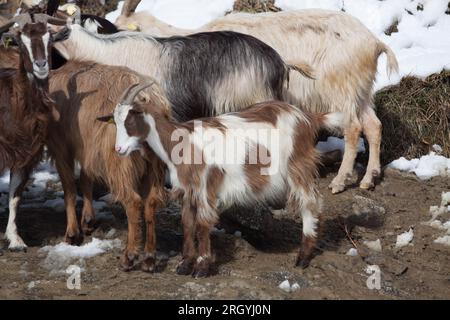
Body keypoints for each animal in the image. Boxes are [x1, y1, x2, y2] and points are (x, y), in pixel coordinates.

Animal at [0, 13, 68, 251]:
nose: (40, 65)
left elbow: (15, 195)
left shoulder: (25, 154)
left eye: (50, 39)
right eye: (21, 43)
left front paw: (15, 239)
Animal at [48, 60, 167, 270]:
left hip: (120, 163)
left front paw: (72, 233)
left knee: (133, 202)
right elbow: (85, 179)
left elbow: (69, 187)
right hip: (154, 166)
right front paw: (88, 221)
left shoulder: (61, 147)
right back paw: (149, 258)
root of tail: (149, 98)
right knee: (151, 202)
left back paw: (129, 256)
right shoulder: (87, 149)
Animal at [99, 81, 344, 276]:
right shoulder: (187, 190)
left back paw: (303, 257)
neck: (181, 142)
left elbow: (202, 225)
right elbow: (187, 224)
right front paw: (184, 265)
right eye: (115, 122)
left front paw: (201, 267)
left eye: (130, 120)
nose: (119, 149)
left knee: (310, 203)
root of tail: (308, 118)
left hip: (298, 166)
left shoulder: (205, 186)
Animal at [114, 1, 400, 194]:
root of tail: (374, 43)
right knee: (373, 125)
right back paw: (369, 178)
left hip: (340, 89)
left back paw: (340, 181)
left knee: (353, 128)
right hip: (360, 90)